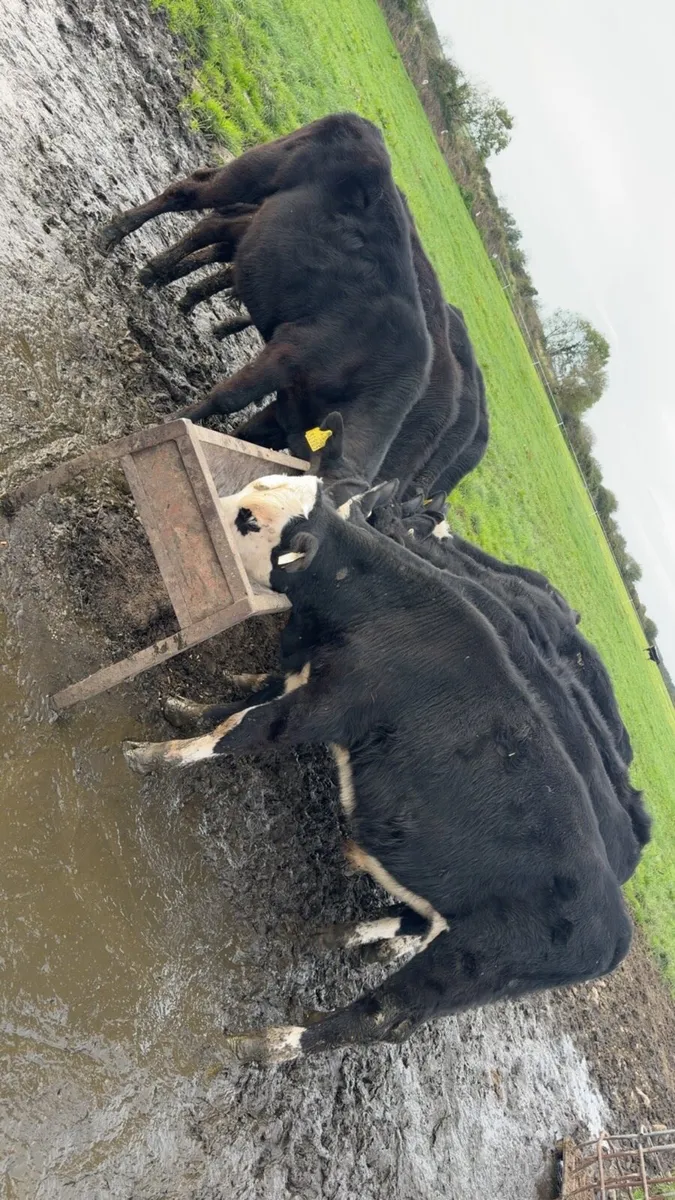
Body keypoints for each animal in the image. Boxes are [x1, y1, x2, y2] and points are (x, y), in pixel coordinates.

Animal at [100, 113, 431, 481]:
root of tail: (363, 126)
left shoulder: (288, 406)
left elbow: (250, 433)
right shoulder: (287, 354)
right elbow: (230, 398)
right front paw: (174, 421)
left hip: (257, 215)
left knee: (211, 223)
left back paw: (156, 272)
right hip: (250, 174)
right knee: (188, 192)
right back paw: (115, 232)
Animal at [121, 471, 634, 1064]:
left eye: (249, 520)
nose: (210, 504)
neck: (379, 605)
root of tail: (616, 929)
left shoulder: (321, 709)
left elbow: (240, 730)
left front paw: (155, 756)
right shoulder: (305, 680)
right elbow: (236, 708)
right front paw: (183, 709)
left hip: (471, 964)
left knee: (382, 1017)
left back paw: (274, 1042)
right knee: (415, 920)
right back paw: (336, 937)